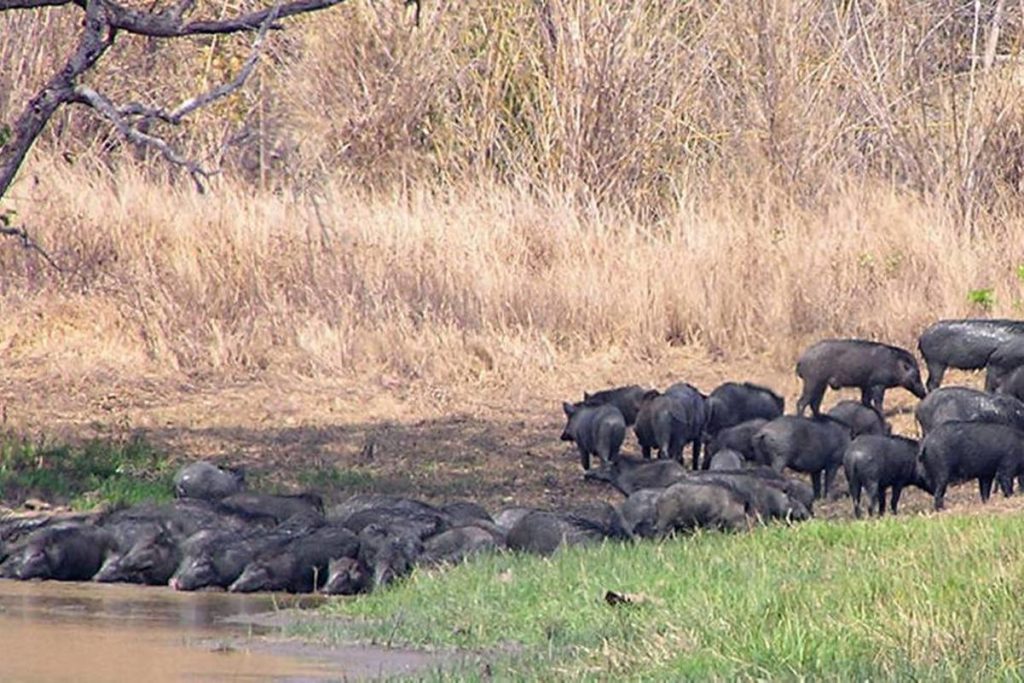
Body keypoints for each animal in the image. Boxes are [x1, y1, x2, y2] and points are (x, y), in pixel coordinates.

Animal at [796, 339, 926, 416]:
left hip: (821, 385)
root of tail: (801, 360)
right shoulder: (878, 385)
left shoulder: (865, 386)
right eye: (916, 374)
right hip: (812, 382)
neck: (894, 365)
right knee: (801, 403)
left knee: (814, 404)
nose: (924, 393)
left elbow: (865, 400)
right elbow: (877, 401)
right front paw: (882, 414)